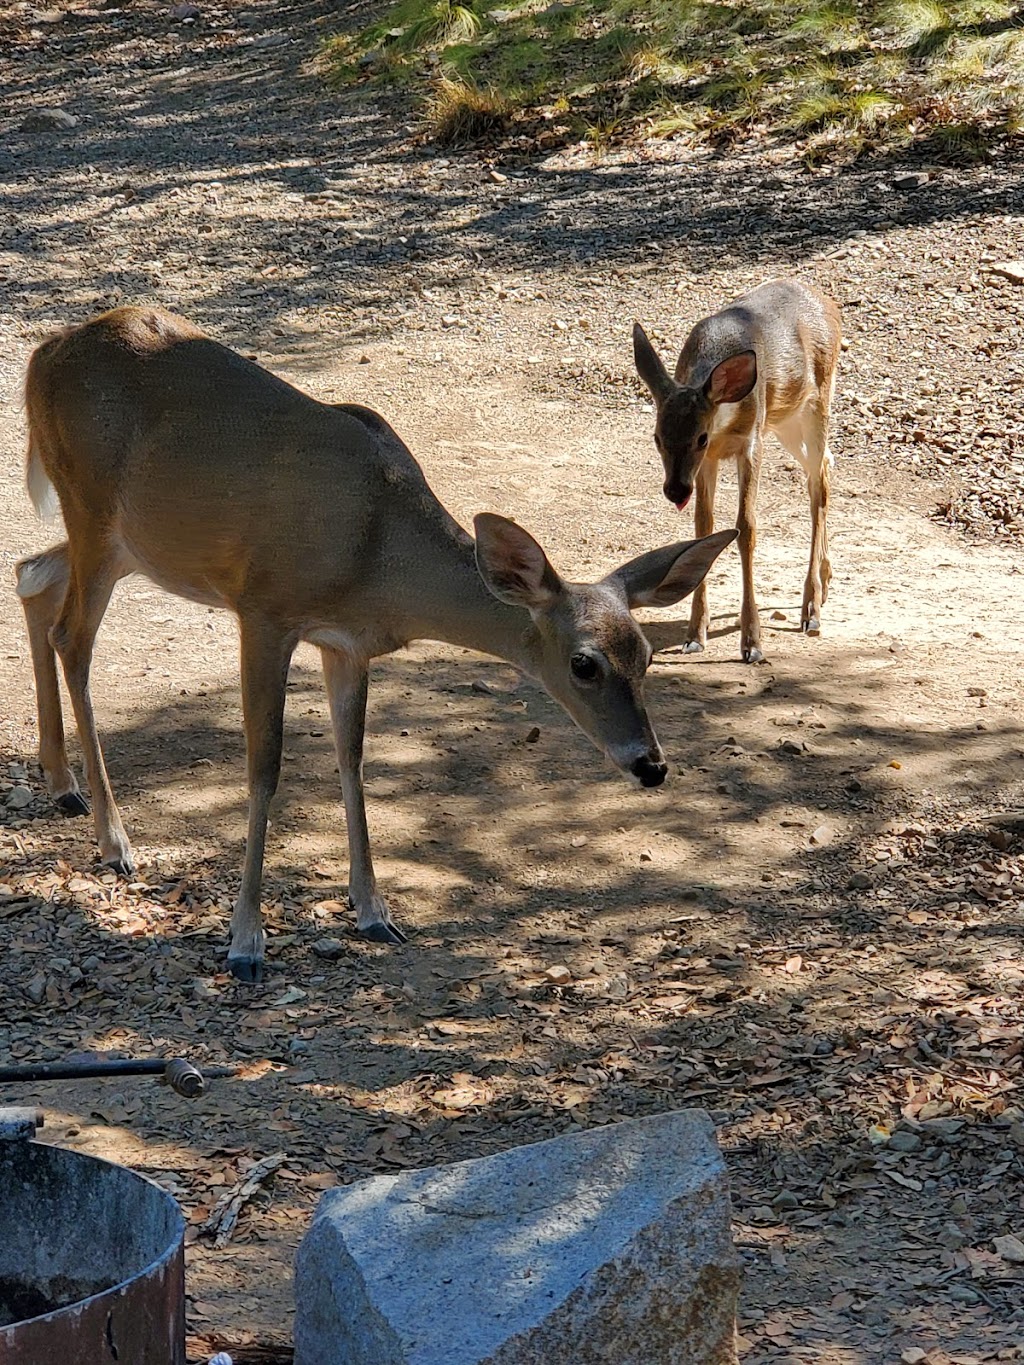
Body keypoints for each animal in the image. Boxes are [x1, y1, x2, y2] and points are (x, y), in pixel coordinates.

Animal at [16, 307, 737, 982]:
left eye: (645, 654)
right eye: (584, 663)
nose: (651, 765)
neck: (375, 551)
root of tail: (41, 355)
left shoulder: (348, 644)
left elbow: (352, 758)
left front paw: (374, 912)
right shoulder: (265, 610)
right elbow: (264, 767)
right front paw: (246, 942)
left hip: (129, 544)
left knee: (33, 573)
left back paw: (63, 783)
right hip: (93, 511)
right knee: (70, 636)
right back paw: (115, 840)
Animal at [633, 277, 841, 660]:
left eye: (700, 437)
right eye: (656, 437)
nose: (675, 490)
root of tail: (826, 301)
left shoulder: (750, 442)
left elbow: (746, 527)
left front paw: (752, 643)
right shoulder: (709, 462)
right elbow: (703, 525)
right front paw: (695, 633)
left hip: (817, 400)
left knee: (818, 481)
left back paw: (811, 609)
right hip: (786, 419)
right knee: (824, 467)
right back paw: (825, 580)